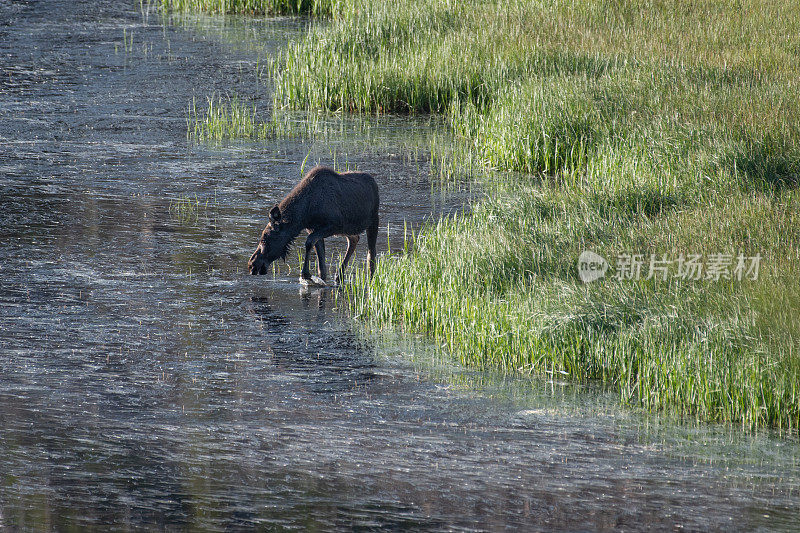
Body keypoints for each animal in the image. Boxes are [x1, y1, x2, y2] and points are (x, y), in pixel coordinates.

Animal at [245, 166, 380, 284]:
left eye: (264, 240)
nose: (252, 264)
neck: (304, 213)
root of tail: (374, 182)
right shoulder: (313, 229)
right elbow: (321, 267)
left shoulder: (333, 225)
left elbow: (309, 242)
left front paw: (306, 274)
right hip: (348, 229)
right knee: (354, 239)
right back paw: (339, 275)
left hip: (373, 221)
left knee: (371, 255)